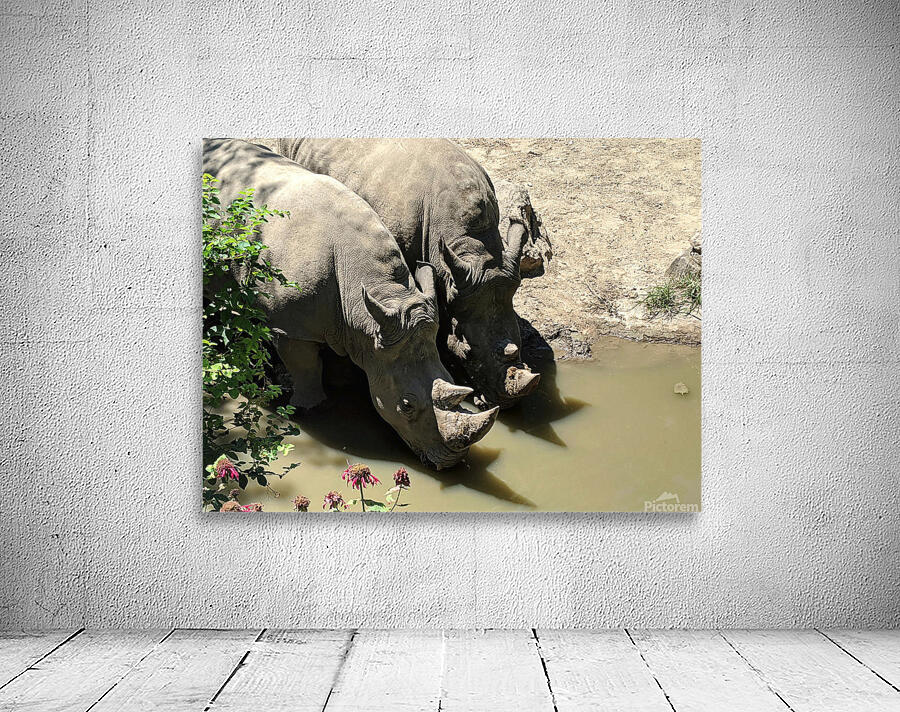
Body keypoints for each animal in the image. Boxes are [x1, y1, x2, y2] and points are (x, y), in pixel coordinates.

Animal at [202, 139, 498, 469]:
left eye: (452, 379)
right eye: (406, 405)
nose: (452, 463)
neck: (378, 292)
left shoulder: (360, 326)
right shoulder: (290, 326)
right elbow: (305, 368)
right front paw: (310, 409)